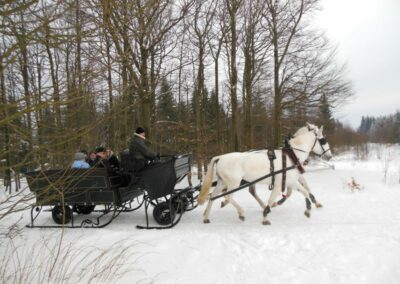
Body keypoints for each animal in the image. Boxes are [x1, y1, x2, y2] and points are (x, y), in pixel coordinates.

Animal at [198, 123, 332, 225]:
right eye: (323, 140)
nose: (330, 156)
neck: (291, 156)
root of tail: (220, 157)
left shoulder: (290, 181)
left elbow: (303, 191)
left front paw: (309, 209)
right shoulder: (282, 183)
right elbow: (275, 198)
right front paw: (266, 217)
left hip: (222, 182)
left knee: (213, 196)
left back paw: (206, 217)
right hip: (234, 183)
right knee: (228, 197)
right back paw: (241, 213)